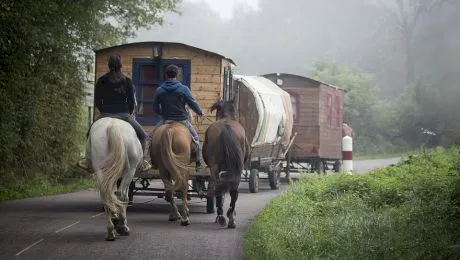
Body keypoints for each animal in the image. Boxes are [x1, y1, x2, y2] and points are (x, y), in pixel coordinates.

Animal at [204, 98, 250, 229]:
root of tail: (226, 127)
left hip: (216, 168)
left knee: (220, 189)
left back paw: (222, 217)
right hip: (237, 169)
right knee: (233, 192)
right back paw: (230, 217)